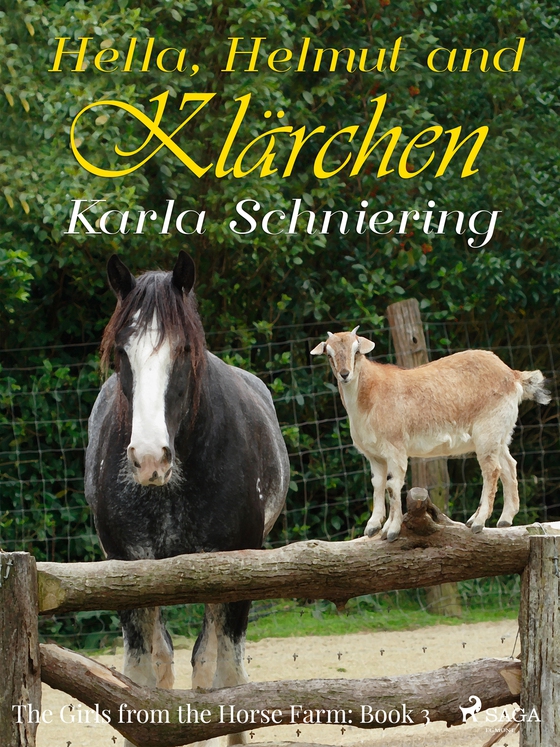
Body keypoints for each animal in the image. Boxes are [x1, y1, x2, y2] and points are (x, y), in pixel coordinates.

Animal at [85, 252, 290, 746]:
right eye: (121, 353)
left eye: (183, 351)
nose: (148, 457)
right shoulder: (127, 570)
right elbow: (141, 678)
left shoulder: (236, 570)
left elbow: (224, 678)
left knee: (213, 664)